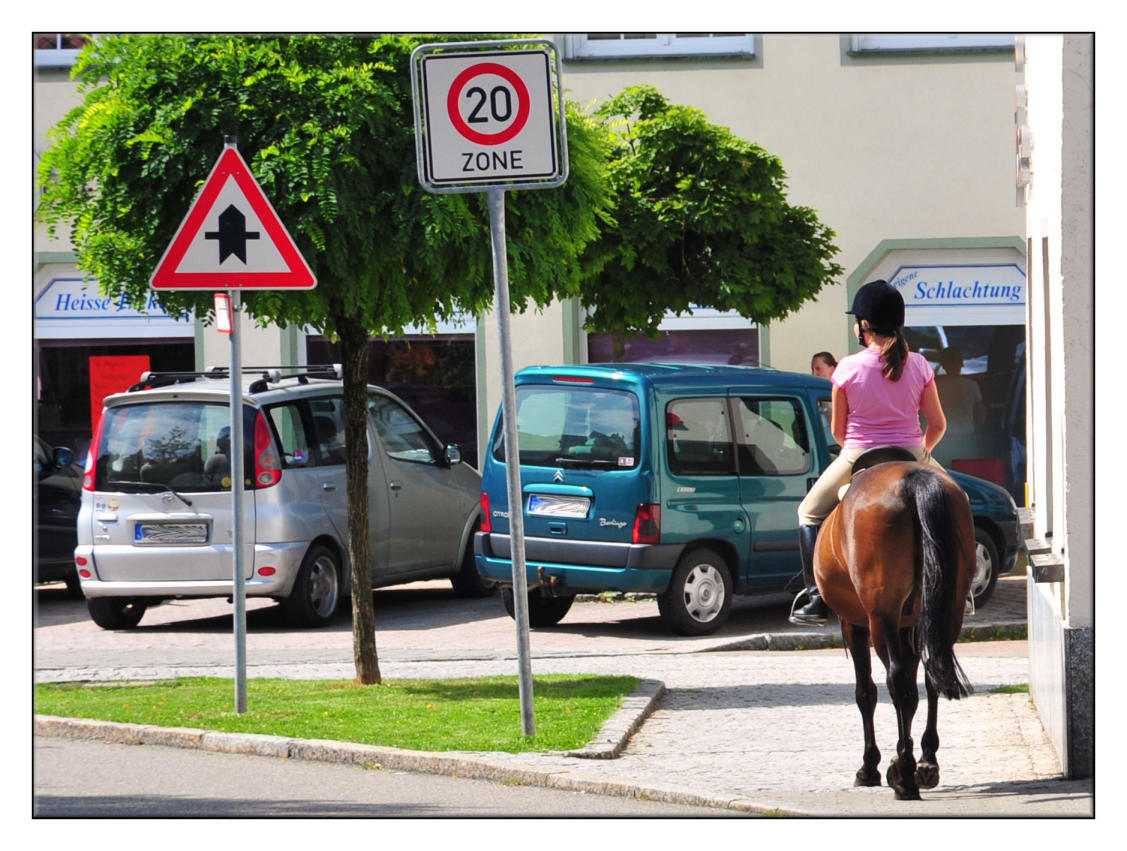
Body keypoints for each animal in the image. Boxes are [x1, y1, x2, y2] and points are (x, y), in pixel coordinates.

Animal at [811, 448, 978, 802]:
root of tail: (913, 480)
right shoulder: (910, 624)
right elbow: (917, 691)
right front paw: (914, 755)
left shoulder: (856, 625)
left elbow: (866, 693)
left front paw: (870, 767)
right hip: (948, 611)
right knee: (932, 675)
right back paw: (925, 764)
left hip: (880, 617)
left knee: (897, 682)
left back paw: (904, 778)